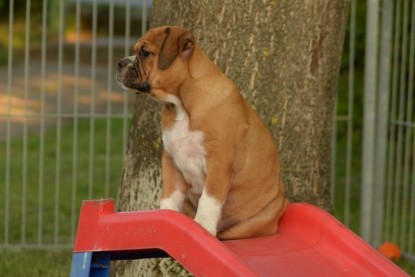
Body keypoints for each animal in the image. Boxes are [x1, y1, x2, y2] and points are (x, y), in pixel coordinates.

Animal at [115, 25, 288, 239]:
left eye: (145, 53)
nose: (120, 63)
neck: (181, 106)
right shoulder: (171, 160)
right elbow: (169, 194)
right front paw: (166, 215)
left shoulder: (218, 164)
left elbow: (209, 199)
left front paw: (203, 226)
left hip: (260, 219)